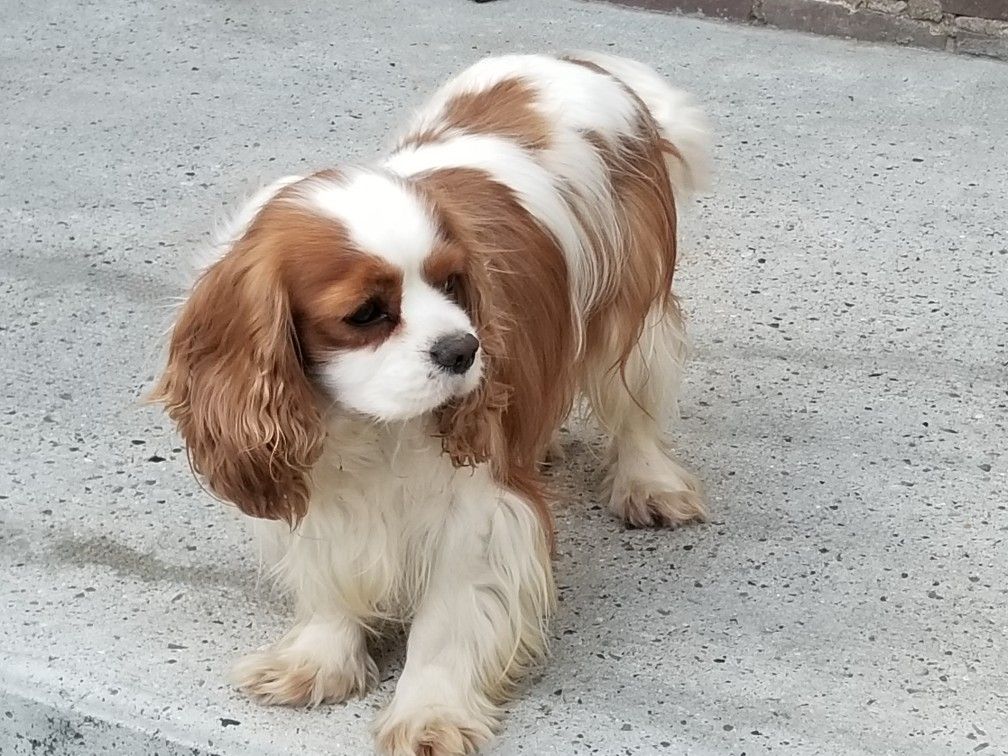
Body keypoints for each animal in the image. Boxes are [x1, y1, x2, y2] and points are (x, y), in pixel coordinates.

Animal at [153, 53, 709, 756]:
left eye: (452, 284)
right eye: (366, 313)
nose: (464, 349)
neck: (364, 427)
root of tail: (577, 60)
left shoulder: (477, 513)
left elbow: (446, 621)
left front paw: (428, 713)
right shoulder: (315, 487)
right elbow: (329, 577)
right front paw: (317, 662)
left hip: (631, 320)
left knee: (634, 409)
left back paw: (648, 484)